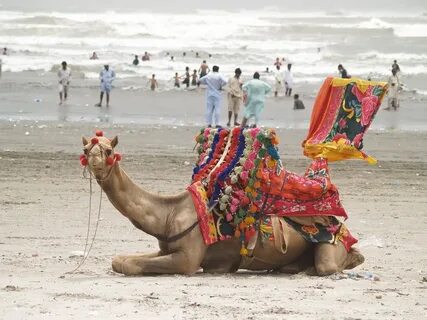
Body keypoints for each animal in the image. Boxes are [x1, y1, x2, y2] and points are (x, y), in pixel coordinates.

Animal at [81, 132, 364, 276]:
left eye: (108, 151)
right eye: (86, 150)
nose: (94, 160)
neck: (169, 213)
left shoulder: (187, 259)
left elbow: (129, 265)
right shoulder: (166, 248)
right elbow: (119, 260)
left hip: (332, 242)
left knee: (333, 264)